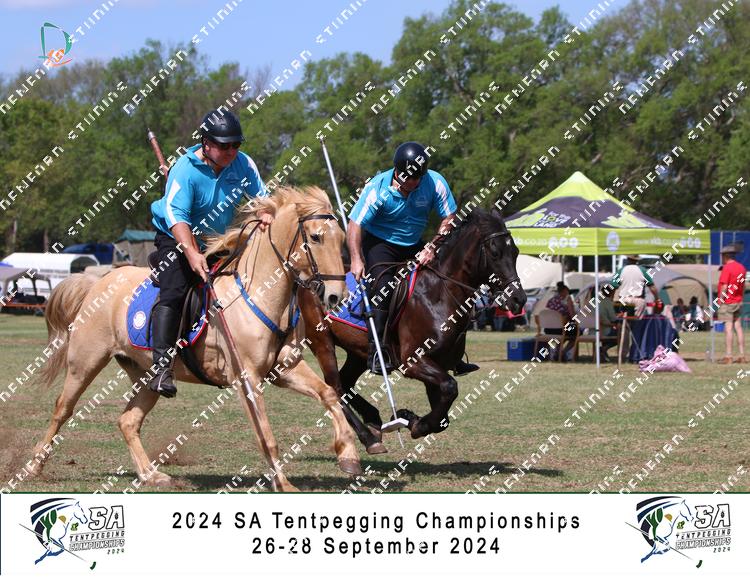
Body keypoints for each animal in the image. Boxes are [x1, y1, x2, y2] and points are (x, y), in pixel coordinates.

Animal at [30, 186, 360, 492]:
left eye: (342, 239)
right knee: (62, 409)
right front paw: (284, 484)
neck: (259, 294)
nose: (336, 296)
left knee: (128, 421)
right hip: (85, 363)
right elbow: (266, 436)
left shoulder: (285, 369)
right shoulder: (246, 379)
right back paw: (34, 466)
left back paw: (152, 475)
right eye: (316, 237)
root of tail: (97, 281)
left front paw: (348, 455)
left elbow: (329, 394)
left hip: (147, 376)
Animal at [297, 208, 527, 453]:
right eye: (494, 253)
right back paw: (368, 437)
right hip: (322, 341)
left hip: (357, 352)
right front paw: (414, 423)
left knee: (346, 383)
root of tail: (309, 279)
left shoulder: (438, 364)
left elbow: (443, 414)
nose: (518, 300)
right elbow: (450, 387)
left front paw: (410, 418)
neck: (439, 293)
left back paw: (373, 419)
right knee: (335, 387)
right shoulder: (414, 361)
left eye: (515, 251)